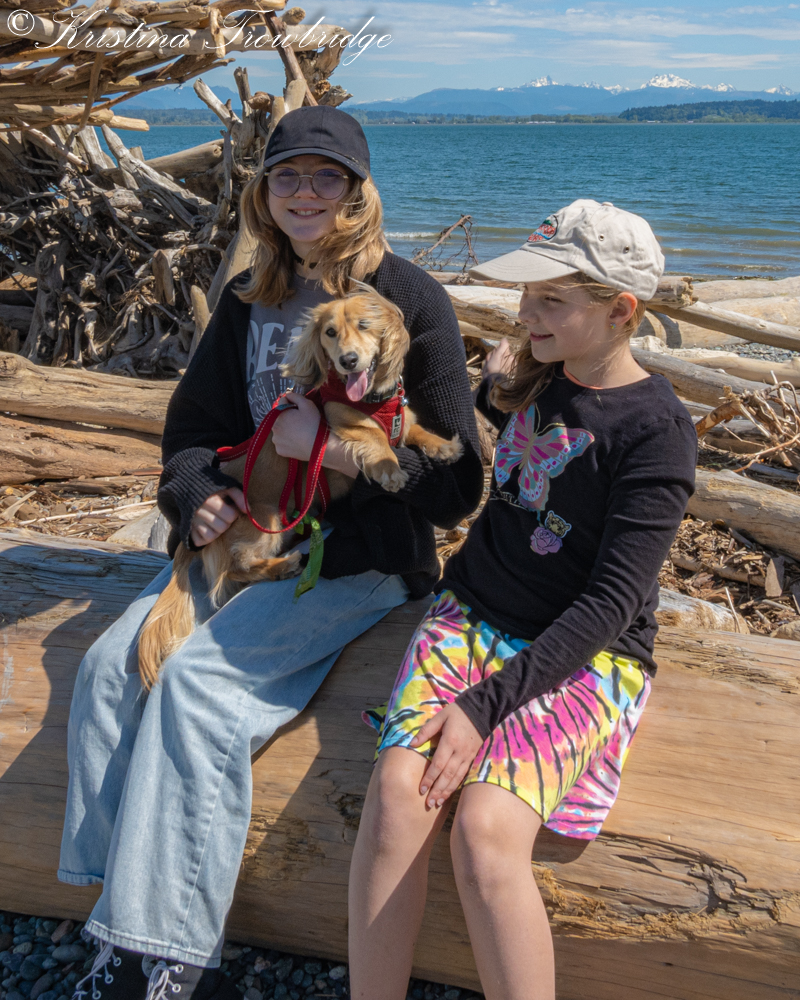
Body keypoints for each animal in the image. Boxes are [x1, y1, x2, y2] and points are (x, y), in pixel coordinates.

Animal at [137, 283, 463, 689]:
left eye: (364, 325)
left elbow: (415, 431)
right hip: (267, 519)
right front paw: (389, 467)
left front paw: (444, 446)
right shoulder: (342, 419)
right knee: (232, 572)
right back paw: (282, 567)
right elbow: (373, 436)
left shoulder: (402, 418)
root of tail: (190, 541)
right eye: (330, 333)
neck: (373, 400)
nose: (348, 361)